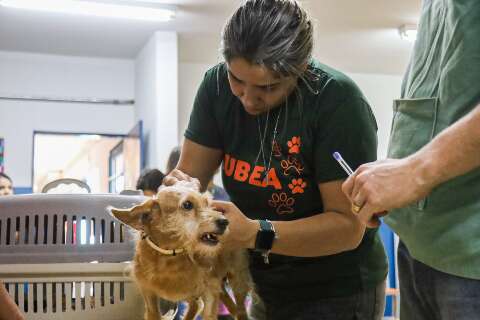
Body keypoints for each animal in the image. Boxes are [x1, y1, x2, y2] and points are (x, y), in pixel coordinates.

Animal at [109, 182, 251, 320]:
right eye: (187, 205)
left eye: (208, 204)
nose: (225, 221)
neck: (170, 257)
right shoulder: (148, 294)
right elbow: (154, 314)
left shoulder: (210, 291)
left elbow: (208, 313)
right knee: (199, 305)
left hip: (237, 281)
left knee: (240, 310)